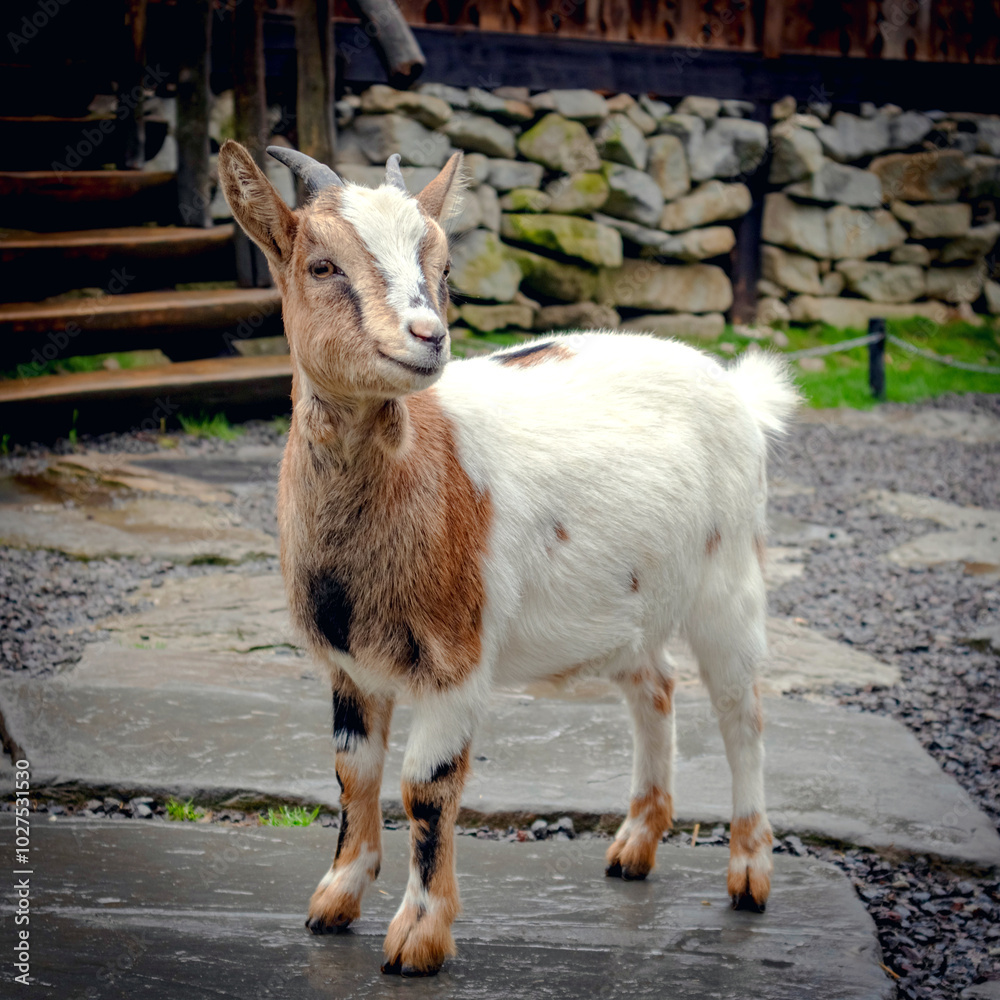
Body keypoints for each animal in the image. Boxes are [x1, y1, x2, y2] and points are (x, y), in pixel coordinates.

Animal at [219, 139, 799, 977]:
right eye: (320, 265)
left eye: (443, 266)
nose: (427, 335)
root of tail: (737, 390)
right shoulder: (347, 662)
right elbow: (352, 774)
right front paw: (334, 900)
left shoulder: (456, 657)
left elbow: (425, 787)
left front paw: (418, 938)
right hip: (628, 602)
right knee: (654, 687)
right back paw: (634, 846)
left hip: (731, 578)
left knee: (740, 711)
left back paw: (749, 875)